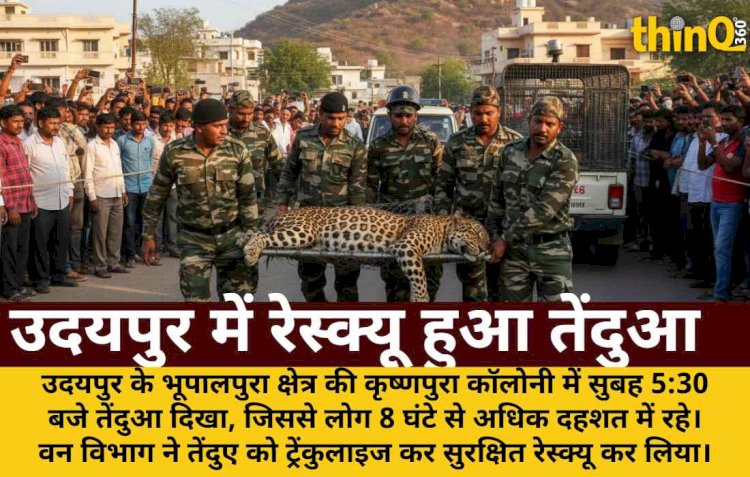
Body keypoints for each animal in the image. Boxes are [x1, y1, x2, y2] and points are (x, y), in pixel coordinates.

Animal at [241, 207, 490, 302]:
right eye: (476, 234)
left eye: (487, 239)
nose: (485, 249)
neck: (443, 230)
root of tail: (279, 215)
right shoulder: (407, 247)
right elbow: (420, 277)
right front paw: (420, 298)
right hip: (302, 231)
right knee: (262, 238)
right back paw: (250, 252)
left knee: (259, 234)